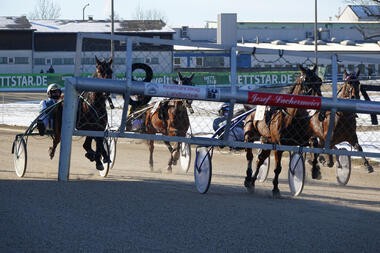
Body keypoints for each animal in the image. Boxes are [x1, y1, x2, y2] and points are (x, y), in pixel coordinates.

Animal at [242, 64, 322, 197]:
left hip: (267, 141)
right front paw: (275, 189)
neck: (292, 118)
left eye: (320, 81)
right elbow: (277, 169)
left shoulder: (302, 140)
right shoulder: (278, 145)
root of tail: (251, 112)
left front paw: (315, 169)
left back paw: (252, 182)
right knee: (249, 156)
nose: (319, 98)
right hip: (250, 136)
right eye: (306, 81)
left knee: (260, 160)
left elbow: (314, 142)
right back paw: (248, 178)